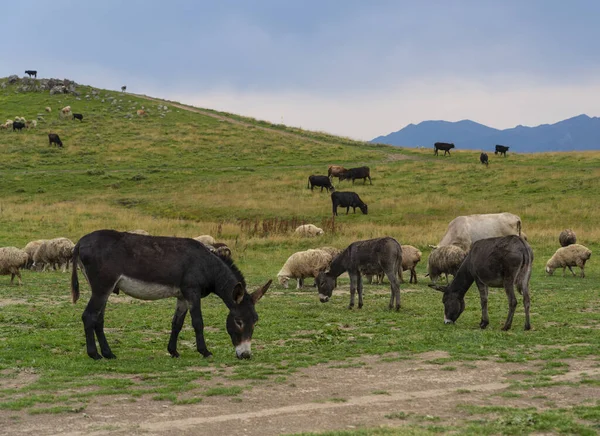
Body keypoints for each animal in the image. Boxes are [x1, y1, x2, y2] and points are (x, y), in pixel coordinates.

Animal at [71, 230, 270, 360]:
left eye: (256, 321)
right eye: (238, 321)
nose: (246, 355)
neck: (207, 266)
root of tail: (81, 241)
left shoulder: (182, 296)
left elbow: (177, 323)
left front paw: (173, 351)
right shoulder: (192, 291)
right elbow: (198, 322)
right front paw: (204, 351)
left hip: (105, 289)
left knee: (98, 319)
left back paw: (108, 354)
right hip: (102, 287)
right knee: (89, 316)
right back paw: (94, 355)